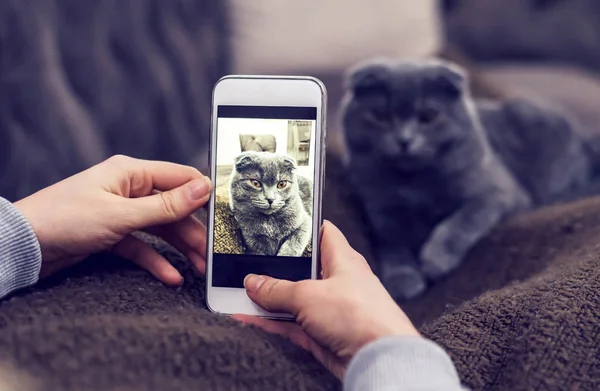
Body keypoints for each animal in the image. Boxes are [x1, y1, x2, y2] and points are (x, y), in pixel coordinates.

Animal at [342, 58, 596, 302]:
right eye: (380, 116)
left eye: (429, 116)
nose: (404, 140)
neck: (414, 185)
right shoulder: (381, 214)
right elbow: (393, 247)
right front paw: (403, 281)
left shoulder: (498, 193)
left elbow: (460, 221)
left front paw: (436, 260)